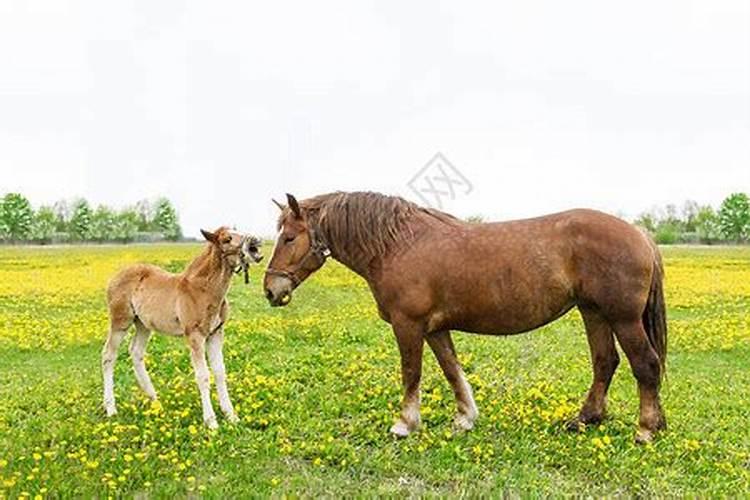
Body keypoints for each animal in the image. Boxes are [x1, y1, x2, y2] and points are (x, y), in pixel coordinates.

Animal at [103, 229, 262, 428]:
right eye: (227, 239)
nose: (255, 244)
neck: (203, 289)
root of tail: (114, 278)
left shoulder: (215, 334)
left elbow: (220, 371)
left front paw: (231, 415)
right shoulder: (195, 336)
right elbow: (203, 376)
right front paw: (211, 421)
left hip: (143, 324)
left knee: (136, 352)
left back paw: (155, 401)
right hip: (120, 322)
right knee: (108, 355)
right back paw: (111, 409)